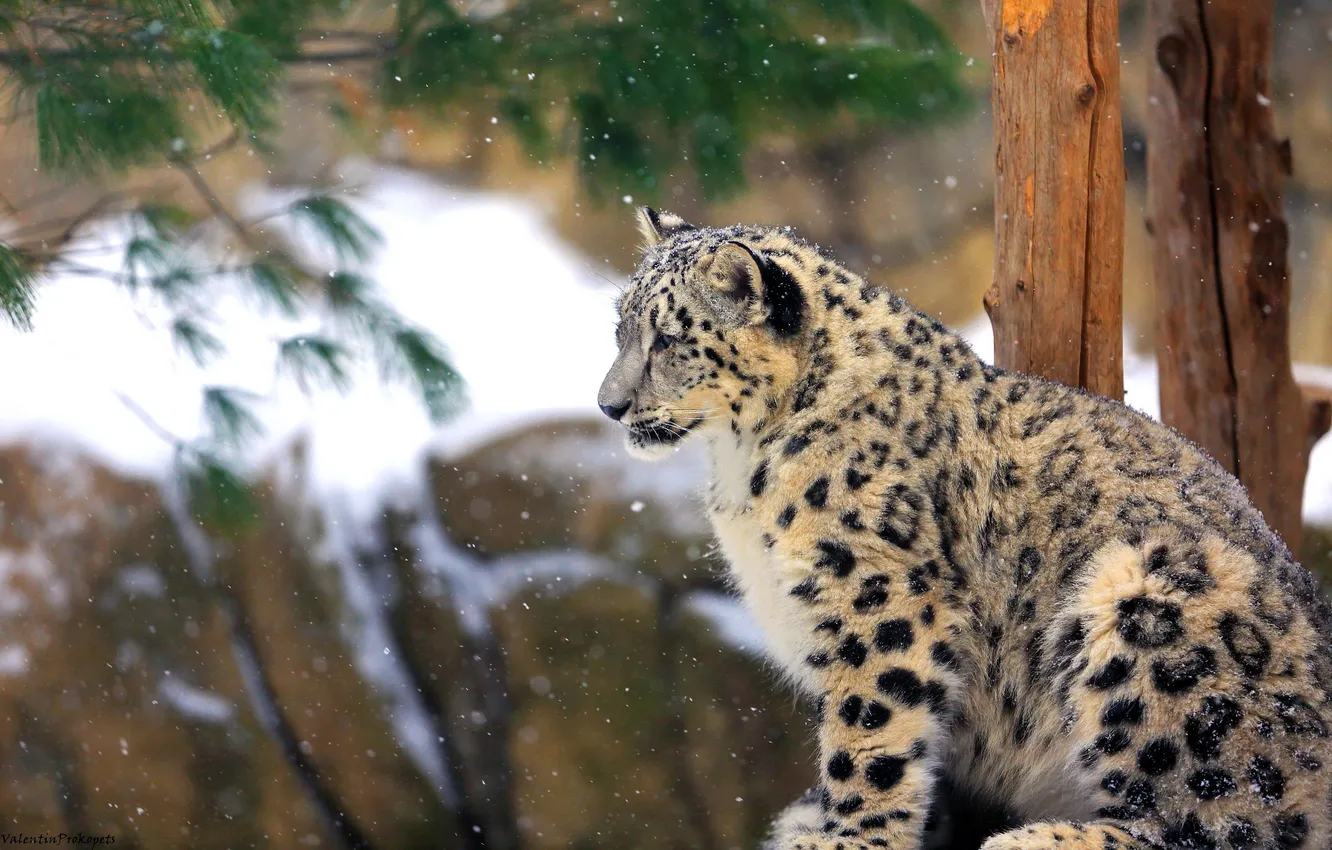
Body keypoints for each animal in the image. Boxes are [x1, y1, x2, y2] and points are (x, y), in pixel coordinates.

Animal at [596, 207, 1332, 850]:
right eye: (621, 329)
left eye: (669, 340)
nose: (609, 405)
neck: (741, 465)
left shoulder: (880, 600)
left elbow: (872, 728)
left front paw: (849, 837)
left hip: (1150, 601)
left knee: (1234, 819)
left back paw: (1039, 839)